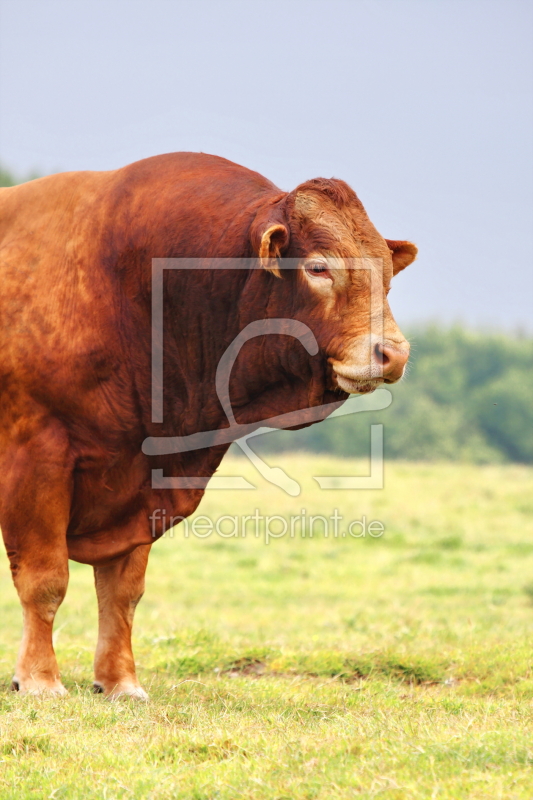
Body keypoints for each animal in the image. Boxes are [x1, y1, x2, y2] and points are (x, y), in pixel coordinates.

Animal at [0, 153, 416, 696]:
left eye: (386, 275)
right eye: (319, 267)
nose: (393, 353)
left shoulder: (144, 480)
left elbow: (123, 592)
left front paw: (119, 682)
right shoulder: (37, 454)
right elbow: (45, 581)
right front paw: (39, 680)